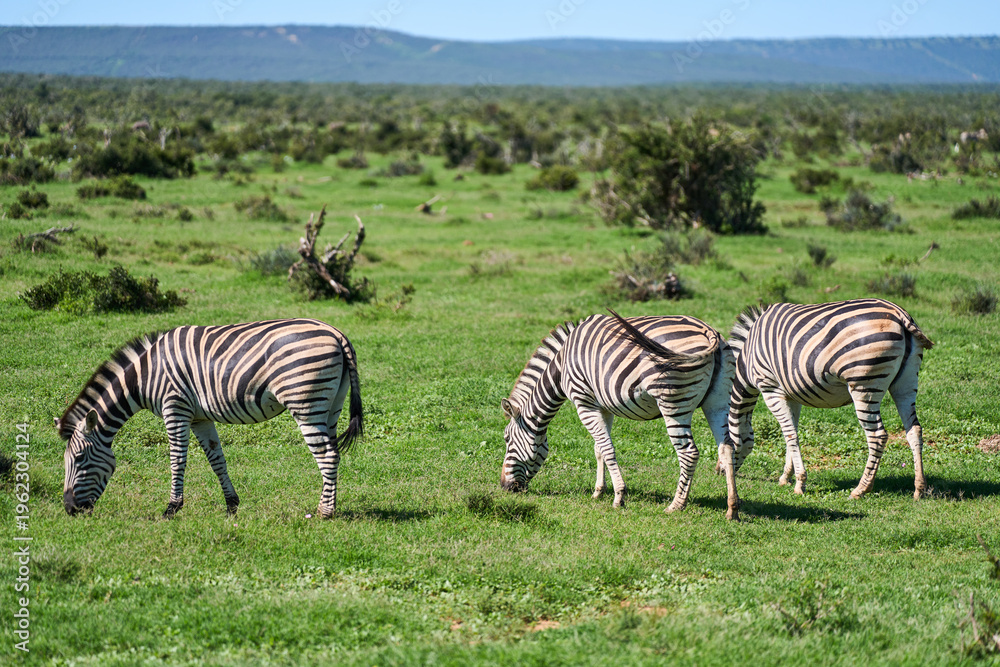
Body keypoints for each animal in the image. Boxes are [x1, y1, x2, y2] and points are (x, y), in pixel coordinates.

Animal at [57, 318, 363, 519]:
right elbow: (217, 460)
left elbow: (177, 459)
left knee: (327, 455)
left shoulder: (175, 407)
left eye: (80, 459)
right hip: (331, 405)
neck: (145, 377)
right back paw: (331, 505)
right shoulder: (199, 418)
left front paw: (171, 508)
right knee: (333, 452)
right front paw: (232, 505)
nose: (70, 509)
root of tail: (336, 333)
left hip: (305, 403)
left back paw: (324, 512)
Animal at [500, 310, 741, 520]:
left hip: (673, 404)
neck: (561, 368)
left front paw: (619, 497)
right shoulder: (603, 406)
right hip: (718, 402)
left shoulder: (584, 403)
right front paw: (598, 491)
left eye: (506, 439)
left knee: (689, 453)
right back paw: (732, 509)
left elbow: (607, 448)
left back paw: (676, 505)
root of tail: (709, 331)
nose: (504, 487)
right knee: (727, 448)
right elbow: (599, 449)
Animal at [724, 298, 933, 500]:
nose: (720, 471)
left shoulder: (770, 388)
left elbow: (790, 434)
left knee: (877, 436)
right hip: (906, 382)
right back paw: (919, 489)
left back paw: (860, 490)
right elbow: (792, 432)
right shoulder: (791, 395)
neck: (747, 360)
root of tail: (899, 313)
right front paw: (786, 477)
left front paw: (799, 483)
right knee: (914, 429)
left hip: (865, 384)